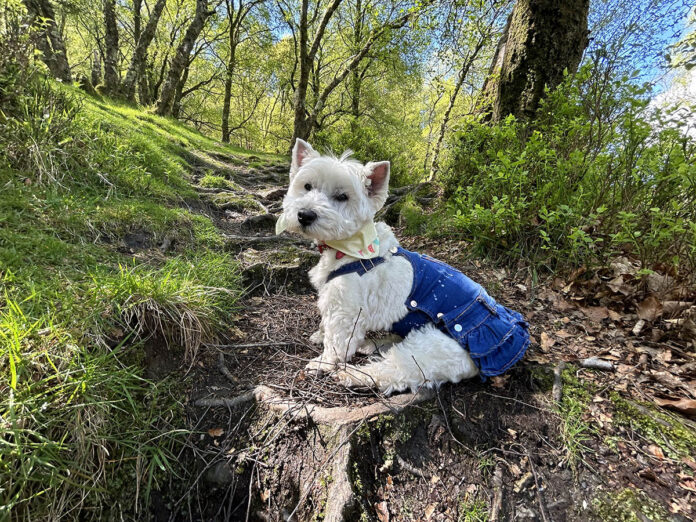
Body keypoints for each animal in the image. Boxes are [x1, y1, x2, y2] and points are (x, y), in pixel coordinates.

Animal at [274, 138, 532, 394]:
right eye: (307, 186)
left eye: (342, 197)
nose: (305, 215)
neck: (349, 248)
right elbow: (325, 325)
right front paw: (319, 335)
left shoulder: (345, 309)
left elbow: (337, 342)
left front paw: (323, 362)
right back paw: (371, 344)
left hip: (431, 349)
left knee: (395, 371)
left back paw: (354, 375)